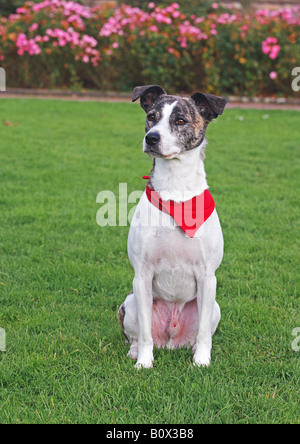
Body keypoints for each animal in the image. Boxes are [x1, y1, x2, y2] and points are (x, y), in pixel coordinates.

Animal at [117, 84, 227, 368]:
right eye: (152, 117)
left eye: (180, 121)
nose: (151, 138)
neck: (175, 191)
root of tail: (170, 340)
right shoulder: (142, 276)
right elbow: (145, 333)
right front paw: (144, 363)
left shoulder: (208, 277)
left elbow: (204, 332)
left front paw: (202, 361)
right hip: (129, 302)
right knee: (137, 334)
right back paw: (135, 351)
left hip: (214, 307)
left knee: (200, 331)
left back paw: (193, 348)